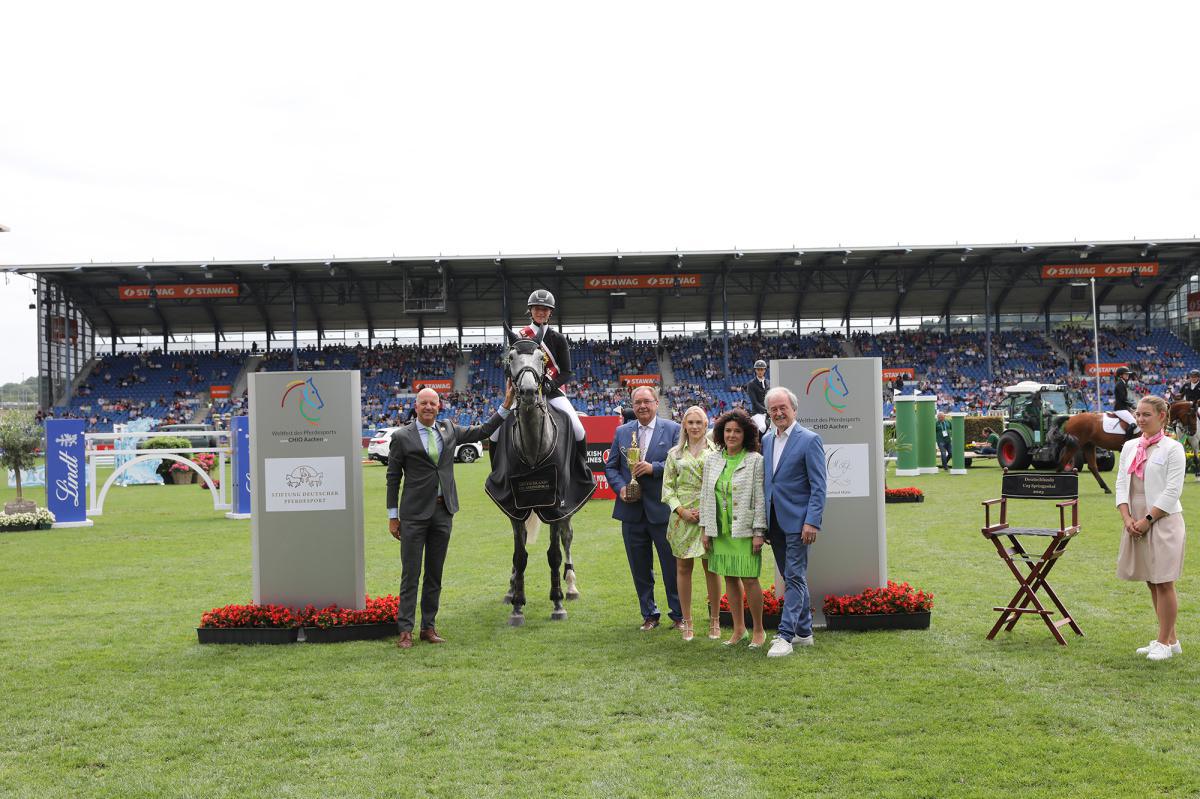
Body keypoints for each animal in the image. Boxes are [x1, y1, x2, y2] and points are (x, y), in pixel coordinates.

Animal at [484, 329, 595, 626]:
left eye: (541, 358)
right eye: (511, 356)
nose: (529, 392)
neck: (534, 446)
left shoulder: (555, 505)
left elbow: (554, 554)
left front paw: (557, 603)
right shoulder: (514, 505)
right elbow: (519, 555)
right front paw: (517, 605)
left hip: (568, 506)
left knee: (567, 538)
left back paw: (571, 585)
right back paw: (511, 588)